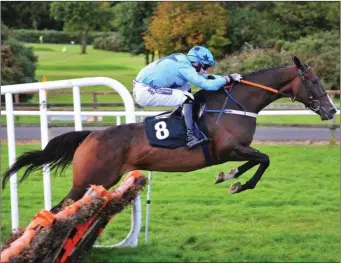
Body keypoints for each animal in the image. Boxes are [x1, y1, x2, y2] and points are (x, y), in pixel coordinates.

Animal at [1, 56, 338, 210]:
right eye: (315, 82)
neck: (235, 105)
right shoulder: (226, 148)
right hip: (88, 180)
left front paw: (228, 177)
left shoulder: (233, 150)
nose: (332, 110)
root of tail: (91, 136)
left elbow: (255, 160)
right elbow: (264, 159)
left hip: (97, 181)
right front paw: (237, 183)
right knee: (61, 209)